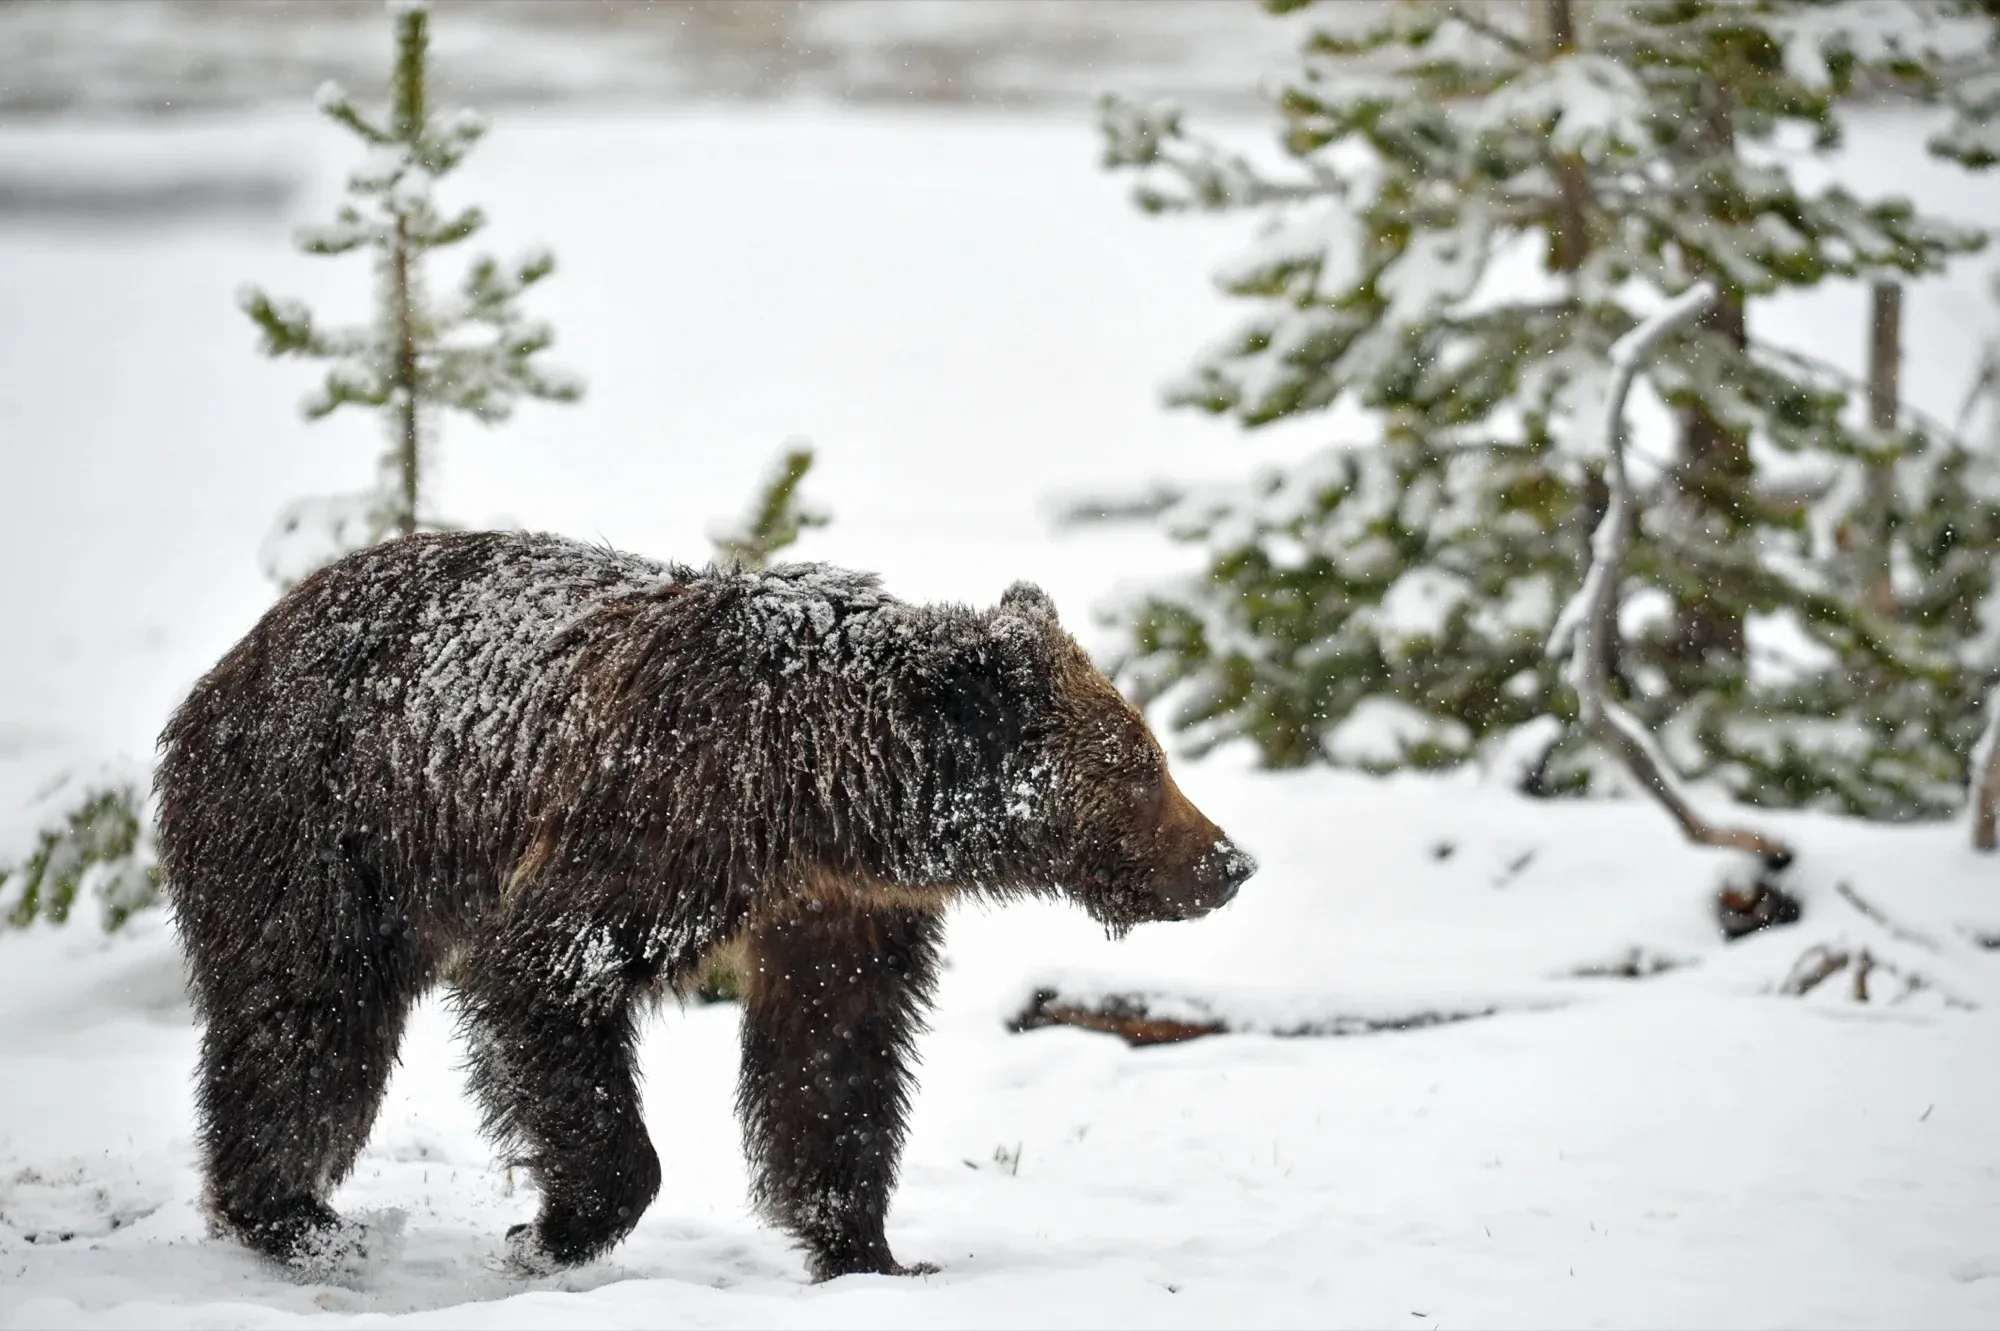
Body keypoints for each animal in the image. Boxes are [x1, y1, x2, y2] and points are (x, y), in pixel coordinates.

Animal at [155, 530, 1255, 1282]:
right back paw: (296, 1217)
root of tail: (230, 662)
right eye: (1143, 766)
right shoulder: (655, 828)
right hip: (317, 827)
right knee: (306, 1018)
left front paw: (869, 1251)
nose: (1229, 860)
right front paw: (549, 1229)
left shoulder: (833, 910)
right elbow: (546, 978)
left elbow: (833, 1062)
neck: (822, 797)